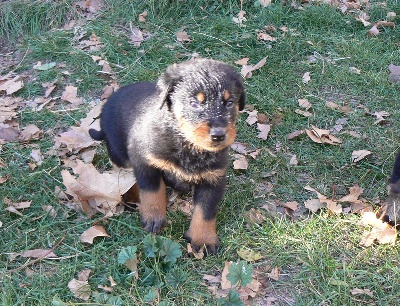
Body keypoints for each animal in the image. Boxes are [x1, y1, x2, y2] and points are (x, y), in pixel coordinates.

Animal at [89, 58, 245, 253]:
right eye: (194, 103)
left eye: (229, 102)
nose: (218, 135)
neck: (187, 145)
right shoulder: (145, 161)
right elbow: (152, 191)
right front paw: (153, 218)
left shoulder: (214, 177)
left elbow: (206, 210)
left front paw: (203, 238)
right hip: (119, 153)